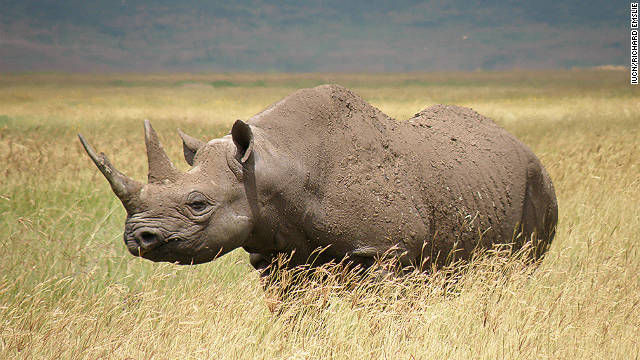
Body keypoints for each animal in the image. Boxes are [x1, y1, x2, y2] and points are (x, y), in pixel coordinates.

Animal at [80, 84, 556, 274]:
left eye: (197, 205)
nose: (137, 239)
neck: (272, 165)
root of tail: (521, 144)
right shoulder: (275, 255)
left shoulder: (386, 252)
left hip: (537, 180)